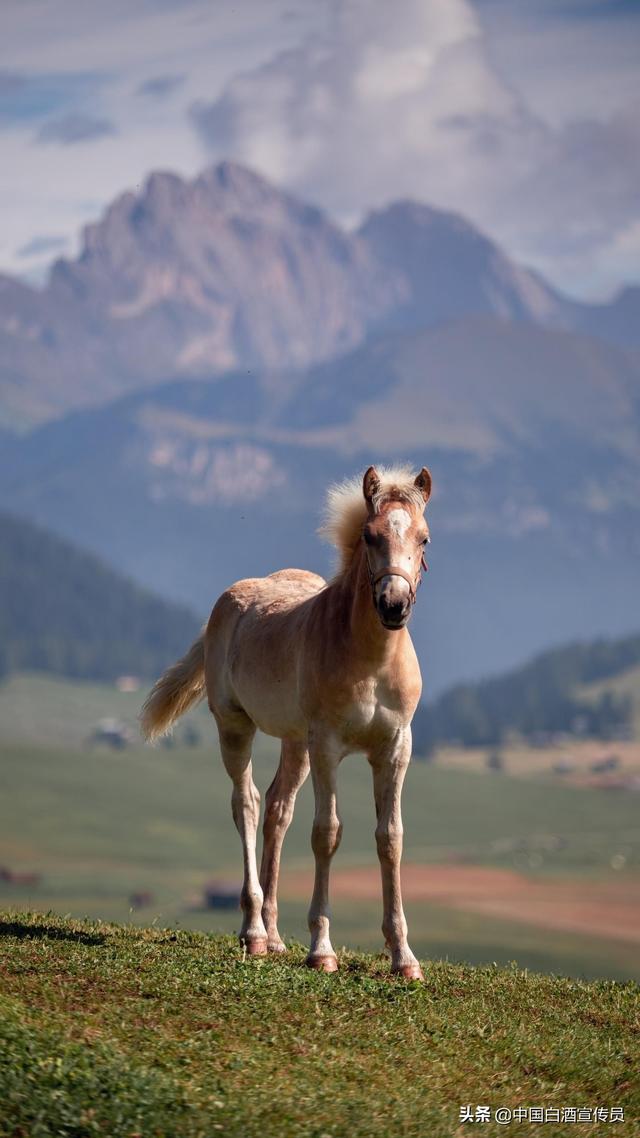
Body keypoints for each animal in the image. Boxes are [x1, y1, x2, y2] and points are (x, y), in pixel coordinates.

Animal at [141, 462, 430, 978]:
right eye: (370, 535)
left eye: (424, 539)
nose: (394, 605)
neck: (370, 660)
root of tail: (227, 602)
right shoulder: (328, 746)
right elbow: (327, 833)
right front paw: (322, 950)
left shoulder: (396, 747)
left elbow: (390, 838)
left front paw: (404, 958)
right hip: (236, 727)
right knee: (248, 804)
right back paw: (254, 933)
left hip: (296, 742)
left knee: (278, 810)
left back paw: (275, 937)